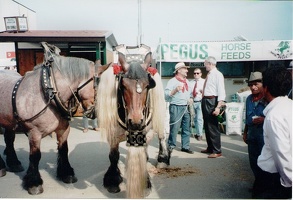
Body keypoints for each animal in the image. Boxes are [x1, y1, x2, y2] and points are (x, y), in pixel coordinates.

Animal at [0, 41, 108, 194]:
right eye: (98, 87)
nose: (97, 114)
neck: (49, 91)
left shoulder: (63, 129)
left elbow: (64, 150)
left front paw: (67, 173)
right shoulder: (34, 133)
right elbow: (35, 156)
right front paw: (34, 183)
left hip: (9, 121)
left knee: (9, 139)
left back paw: (14, 163)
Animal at [96, 45, 169, 198]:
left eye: (147, 86)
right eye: (123, 86)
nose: (135, 122)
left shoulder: (146, 132)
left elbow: (143, 153)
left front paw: (145, 183)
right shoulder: (112, 134)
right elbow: (113, 156)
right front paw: (113, 180)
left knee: (162, 136)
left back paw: (162, 159)